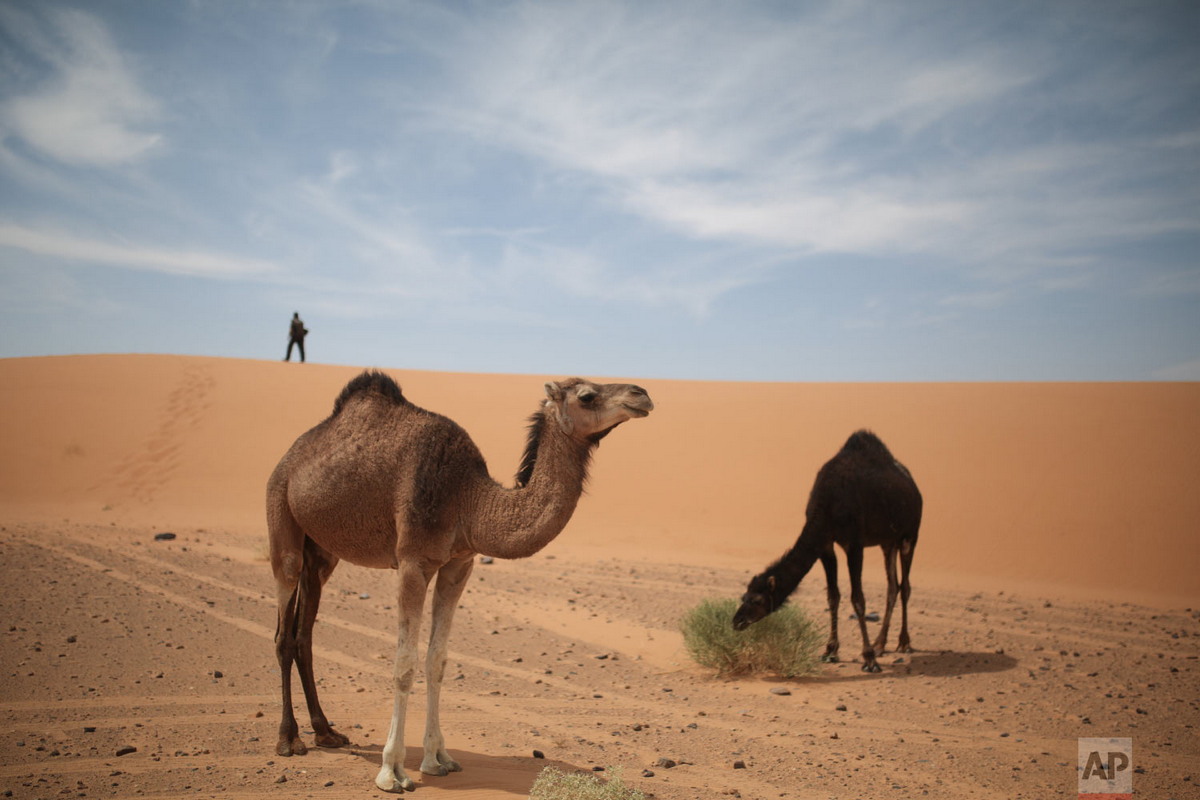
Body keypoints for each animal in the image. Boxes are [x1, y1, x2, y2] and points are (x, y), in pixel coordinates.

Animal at [267, 371, 652, 796]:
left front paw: (438, 759)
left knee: (304, 633)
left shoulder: (458, 564)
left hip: (322, 552)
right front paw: (392, 771)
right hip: (281, 516)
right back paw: (289, 740)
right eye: (586, 395)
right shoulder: (412, 562)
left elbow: (437, 660)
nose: (642, 394)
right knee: (284, 630)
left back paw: (326, 733)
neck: (468, 500)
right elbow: (404, 663)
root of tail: (290, 456)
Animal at [729, 429, 916, 671]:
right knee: (892, 587)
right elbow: (832, 596)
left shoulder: (854, 543)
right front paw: (830, 651)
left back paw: (902, 643)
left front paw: (868, 659)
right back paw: (880, 645)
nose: (737, 621)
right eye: (744, 596)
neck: (828, 505)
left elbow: (858, 599)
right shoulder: (826, 545)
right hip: (888, 542)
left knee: (905, 586)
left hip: (910, 534)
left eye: (758, 601)